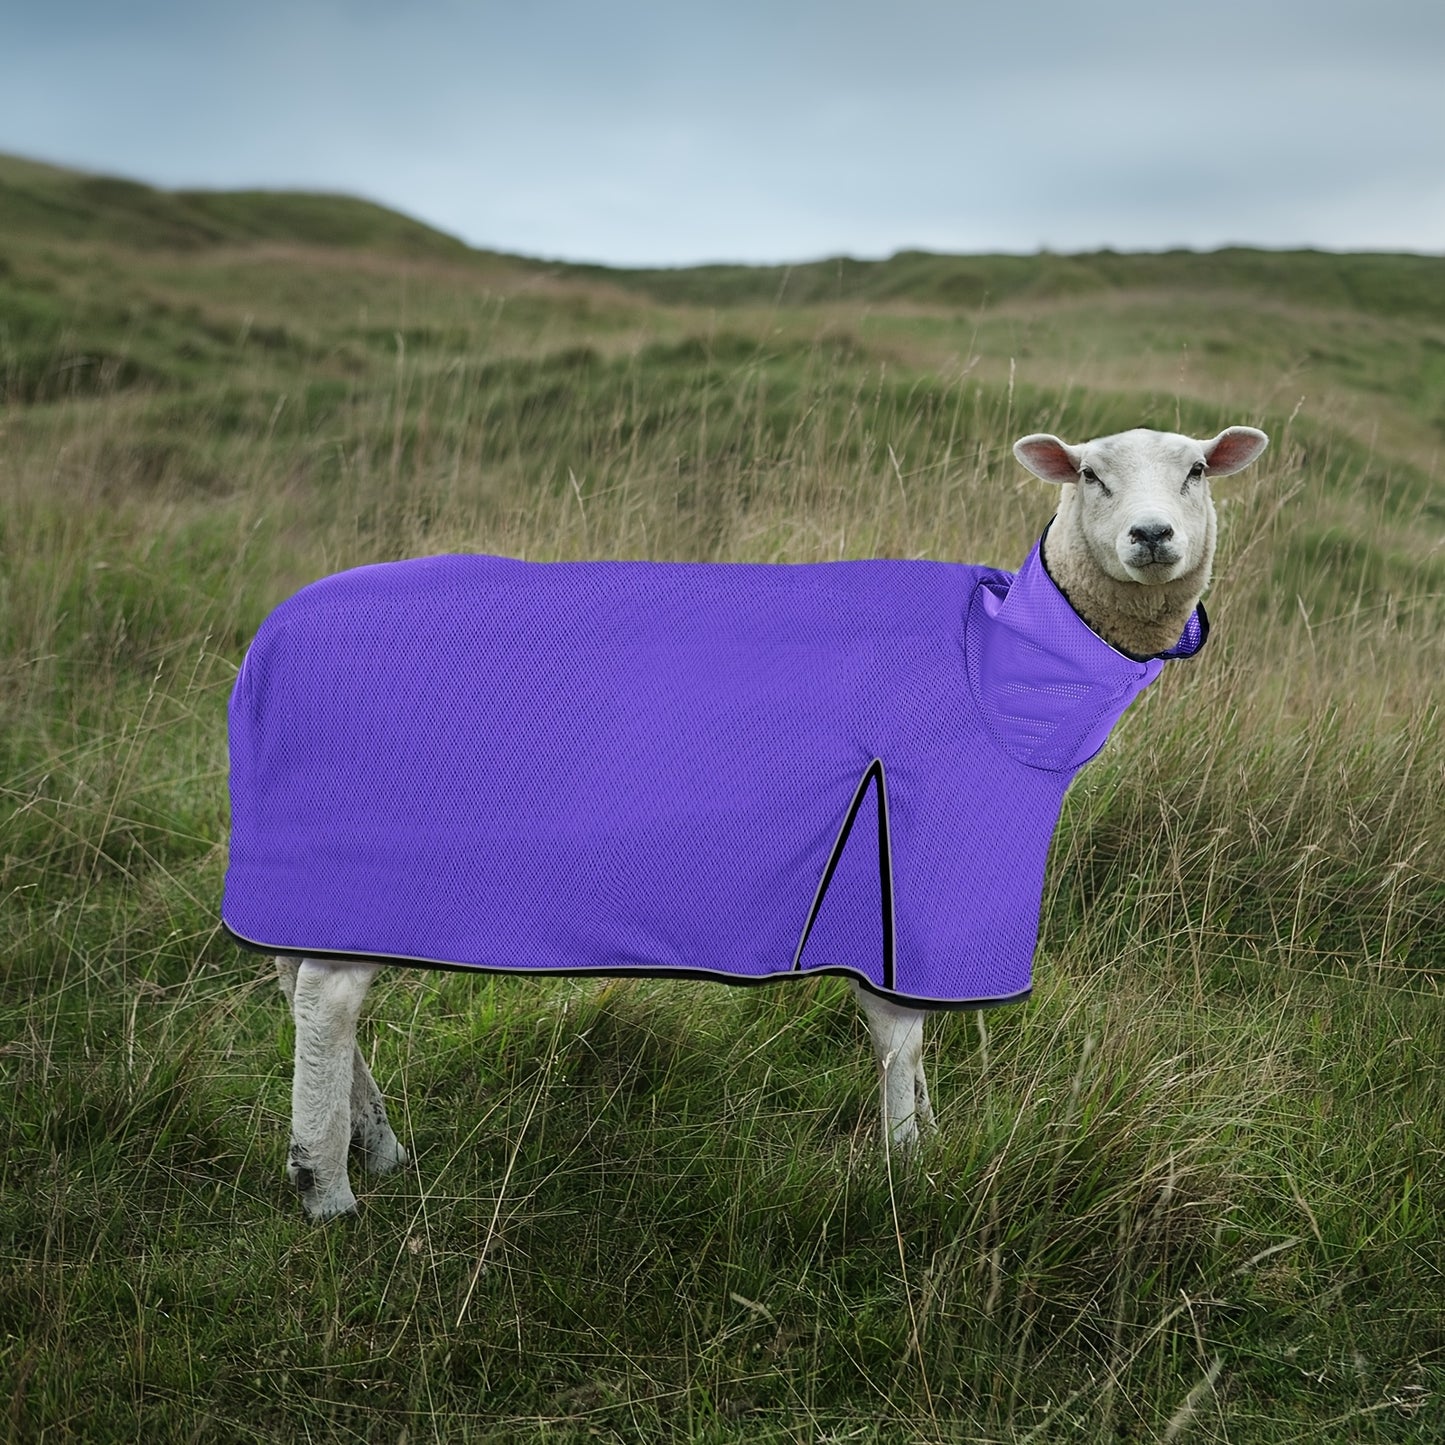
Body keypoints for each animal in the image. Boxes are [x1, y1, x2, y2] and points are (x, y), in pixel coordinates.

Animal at [227, 424, 1269, 1220]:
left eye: (1195, 470)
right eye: (1090, 473)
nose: (1149, 536)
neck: (996, 662)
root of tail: (269, 644)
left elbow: (920, 1027)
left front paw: (928, 1130)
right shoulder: (895, 853)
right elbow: (898, 1028)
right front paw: (905, 1161)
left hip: (313, 862)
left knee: (301, 981)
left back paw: (375, 1146)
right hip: (360, 848)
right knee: (328, 998)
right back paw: (326, 1186)